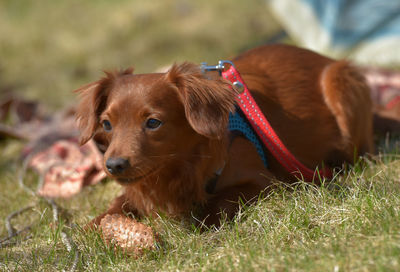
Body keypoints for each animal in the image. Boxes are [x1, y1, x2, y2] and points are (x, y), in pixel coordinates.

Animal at [76, 45, 376, 227]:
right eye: (107, 124)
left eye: (153, 122)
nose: (114, 165)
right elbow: (116, 206)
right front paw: (91, 230)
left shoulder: (262, 182)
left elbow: (222, 201)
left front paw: (203, 223)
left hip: (342, 83)